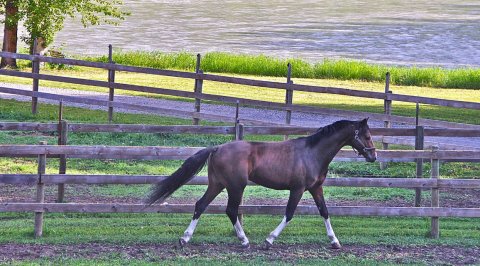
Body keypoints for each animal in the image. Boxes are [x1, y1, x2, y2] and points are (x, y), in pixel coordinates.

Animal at [144, 118, 376, 249]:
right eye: (366, 135)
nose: (373, 156)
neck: (312, 153)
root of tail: (217, 148)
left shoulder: (315, 188)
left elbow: (325, 212)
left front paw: (335, 242)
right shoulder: (298, 189)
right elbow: (289, 214)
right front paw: (269, 241)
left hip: (217, 184)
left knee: (200, 205)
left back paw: (185, 239)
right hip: (235, 187)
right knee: (231, 210)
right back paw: (244, 241)